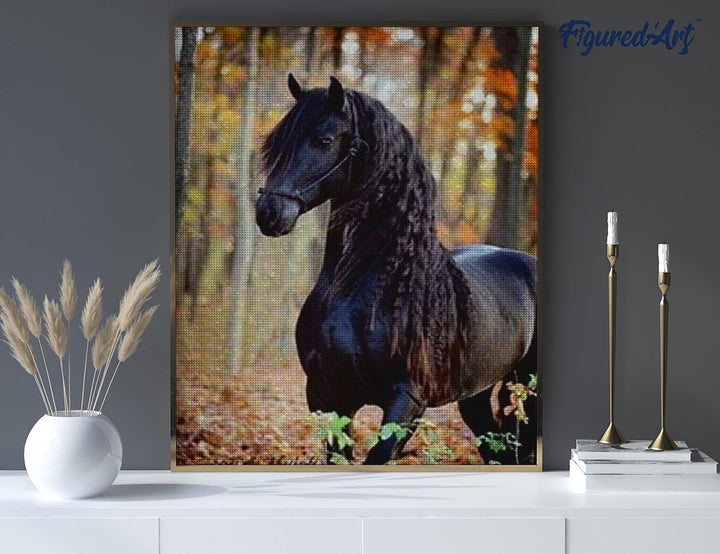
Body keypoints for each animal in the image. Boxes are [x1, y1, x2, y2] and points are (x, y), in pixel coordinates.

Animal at [256, 74, 537, 465]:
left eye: (323, 140)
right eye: (277, 142)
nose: (268, 212)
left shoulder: (407, 401)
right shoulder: (327, 397)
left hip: (528, 385)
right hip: (475, 395)